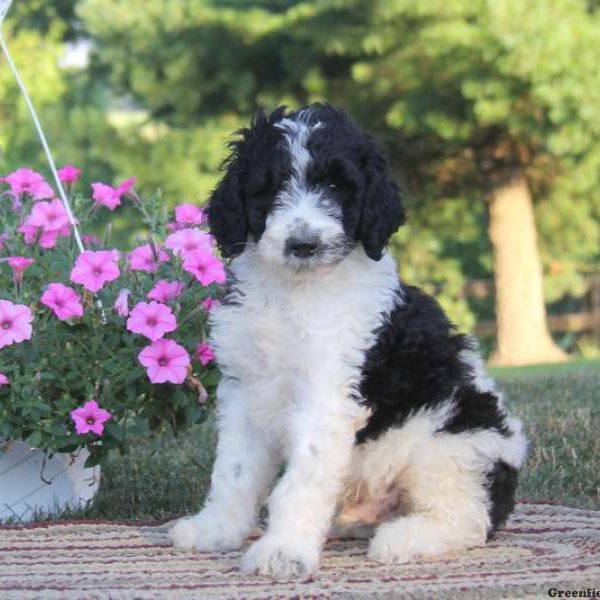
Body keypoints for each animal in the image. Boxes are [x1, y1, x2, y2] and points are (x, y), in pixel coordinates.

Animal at [171, 105, 528, 580]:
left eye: (337, 186)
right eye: (271, 186)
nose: (303, 245)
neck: (296, 292)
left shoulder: (329, 393)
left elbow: (301, 479)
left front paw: (284, 551)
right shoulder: (246, 388)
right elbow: (233, 469)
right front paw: (216, 529)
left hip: (456, 442)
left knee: (468, 518)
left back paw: (405, 537)